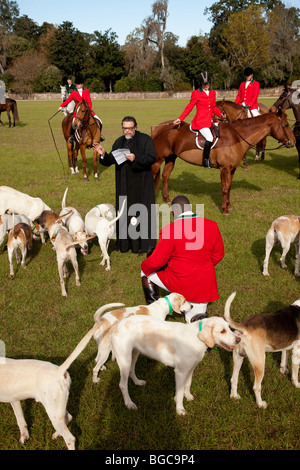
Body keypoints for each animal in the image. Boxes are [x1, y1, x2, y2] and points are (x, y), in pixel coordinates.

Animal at [0, 302, 123, 450]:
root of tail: (59, 370)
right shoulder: (14, 400)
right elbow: (20, 420)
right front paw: (24, 437)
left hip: (53, 413)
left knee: (70, 437)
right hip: (57, 408)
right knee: (68, 417)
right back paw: (56, 434)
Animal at [152, 109, 296, 214]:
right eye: (285, 125)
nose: (293, 142)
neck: (236, 136)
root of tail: (157, 128)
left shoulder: (232, 169)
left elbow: (229, 187)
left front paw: (229, 206)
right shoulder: (225, 169)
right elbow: (225, 188)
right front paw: (225, 210)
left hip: (171, 158)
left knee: (165, 176)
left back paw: (167, 199)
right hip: (158, 161)